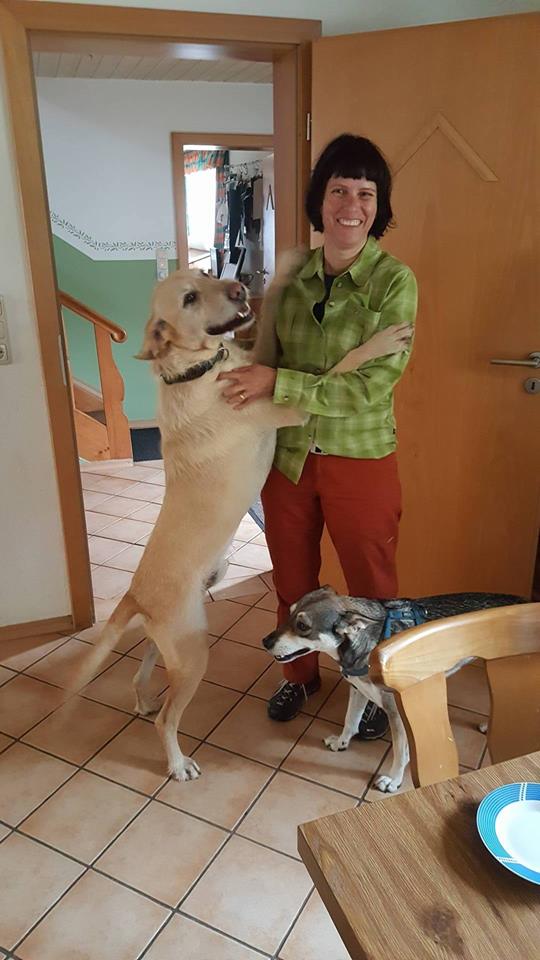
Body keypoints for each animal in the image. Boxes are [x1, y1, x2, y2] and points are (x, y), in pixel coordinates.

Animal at [78, 264, 305, 781]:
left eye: (204, 273)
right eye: (188, 298)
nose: (240, 288)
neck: (196, 369)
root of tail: (135, 593)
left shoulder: (261, 360)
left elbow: (271, 310)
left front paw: (287, 267)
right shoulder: (292, 407)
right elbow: (346, 365)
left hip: (170, 643)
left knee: (140, 670)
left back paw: (141, 699)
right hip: (195, 654)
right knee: (167, 720)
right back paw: (178, 763)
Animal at [262, 585, 524, 792]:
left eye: (302, 626)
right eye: (289, 612)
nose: (265, 642)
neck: (371, 642)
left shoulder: (398, 712)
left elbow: (401, 752)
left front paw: (394, 780)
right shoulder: (357, 689)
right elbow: (350, 720)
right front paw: (341, 742)